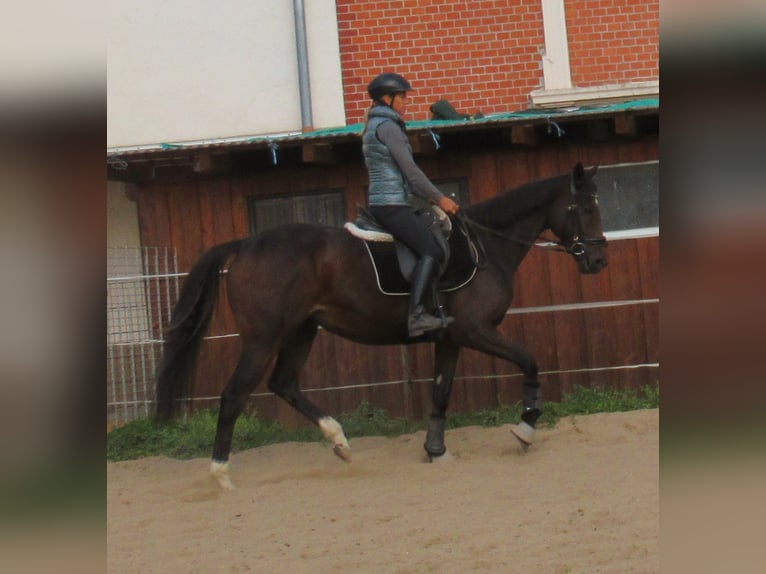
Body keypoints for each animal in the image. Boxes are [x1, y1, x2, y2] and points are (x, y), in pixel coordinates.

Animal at [155, 162, 607, 490]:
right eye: (586, 210)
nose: (599, 261)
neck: (486, 247)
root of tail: (245, 244)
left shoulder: (450, 338)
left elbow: (441, 392)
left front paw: (436, 450)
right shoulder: (475, 331)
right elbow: (530, 362)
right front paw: (526, 427)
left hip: (302, 331)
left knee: (284, 384)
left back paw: (340, 442)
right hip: (263, 338)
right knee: (233, 396)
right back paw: (221, 476)